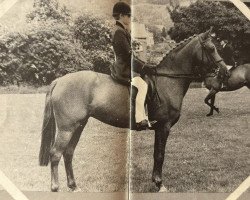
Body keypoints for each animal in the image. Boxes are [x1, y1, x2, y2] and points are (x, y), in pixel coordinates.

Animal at [38, 29, 227, 192]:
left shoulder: (159, 128)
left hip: (79, 125)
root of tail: (59, 81)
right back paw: (55, 188)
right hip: (67, 128)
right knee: (55, 154)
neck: (168, 81)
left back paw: (74, 186)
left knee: (68, 153)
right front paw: (160, 184)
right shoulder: (164, 126)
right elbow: (160, 154)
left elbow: (156, 154)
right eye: (211, 48)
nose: (224, 71)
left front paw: (156, 182)